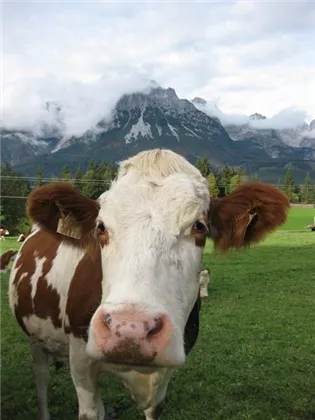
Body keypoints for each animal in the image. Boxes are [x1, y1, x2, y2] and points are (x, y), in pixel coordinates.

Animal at [8, 150, 290, 420]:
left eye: (199, 226)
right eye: (101, 227)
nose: (129, 328)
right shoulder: (80, 361)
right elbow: (91, 410)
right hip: (36, 340)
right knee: (41, 379)